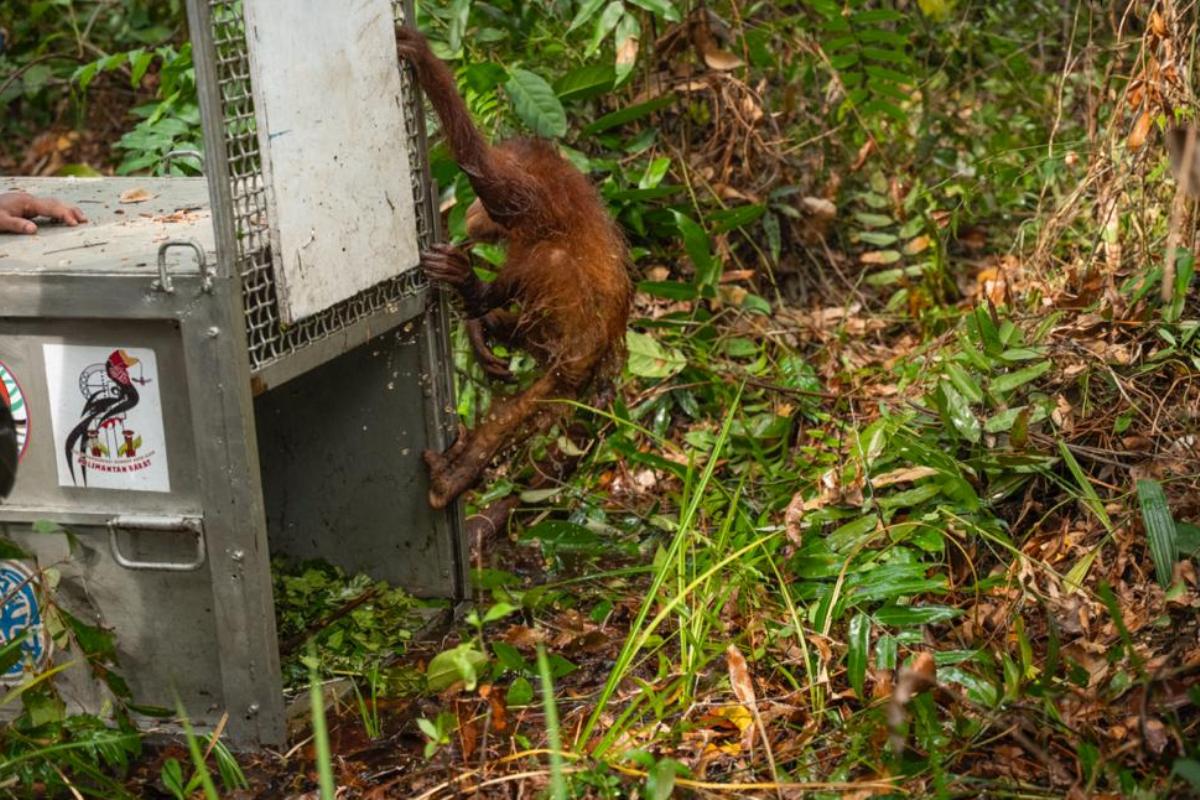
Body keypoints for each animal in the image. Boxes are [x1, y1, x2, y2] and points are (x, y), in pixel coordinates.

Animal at [396, 26, 633, 510]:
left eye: (476, 204)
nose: (468, 212)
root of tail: (604, 359)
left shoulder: (533, 195)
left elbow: (484, 170)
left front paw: (424, 60)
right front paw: (477, 327)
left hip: (572, 357)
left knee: (550, 263)